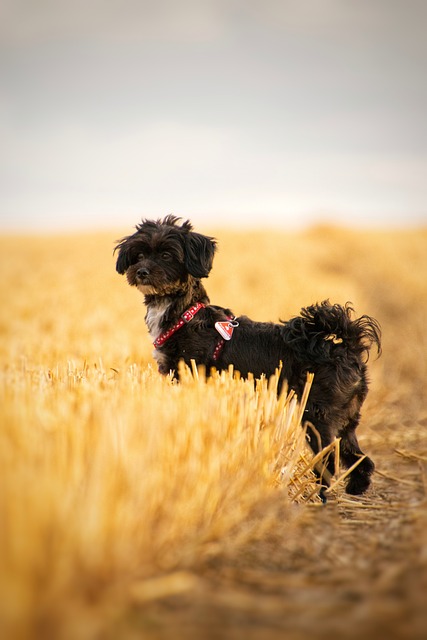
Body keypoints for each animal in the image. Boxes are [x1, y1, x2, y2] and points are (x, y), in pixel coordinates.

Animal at [115, 218, 382, 498]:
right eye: (139, 255)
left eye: (166, 255)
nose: (142, 271)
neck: (183, 314)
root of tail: (347, 346)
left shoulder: (186, 371)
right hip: (346, 417)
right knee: (360, 459)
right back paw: (355, 489)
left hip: (317, 414)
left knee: (329, 458)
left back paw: (318, 494)